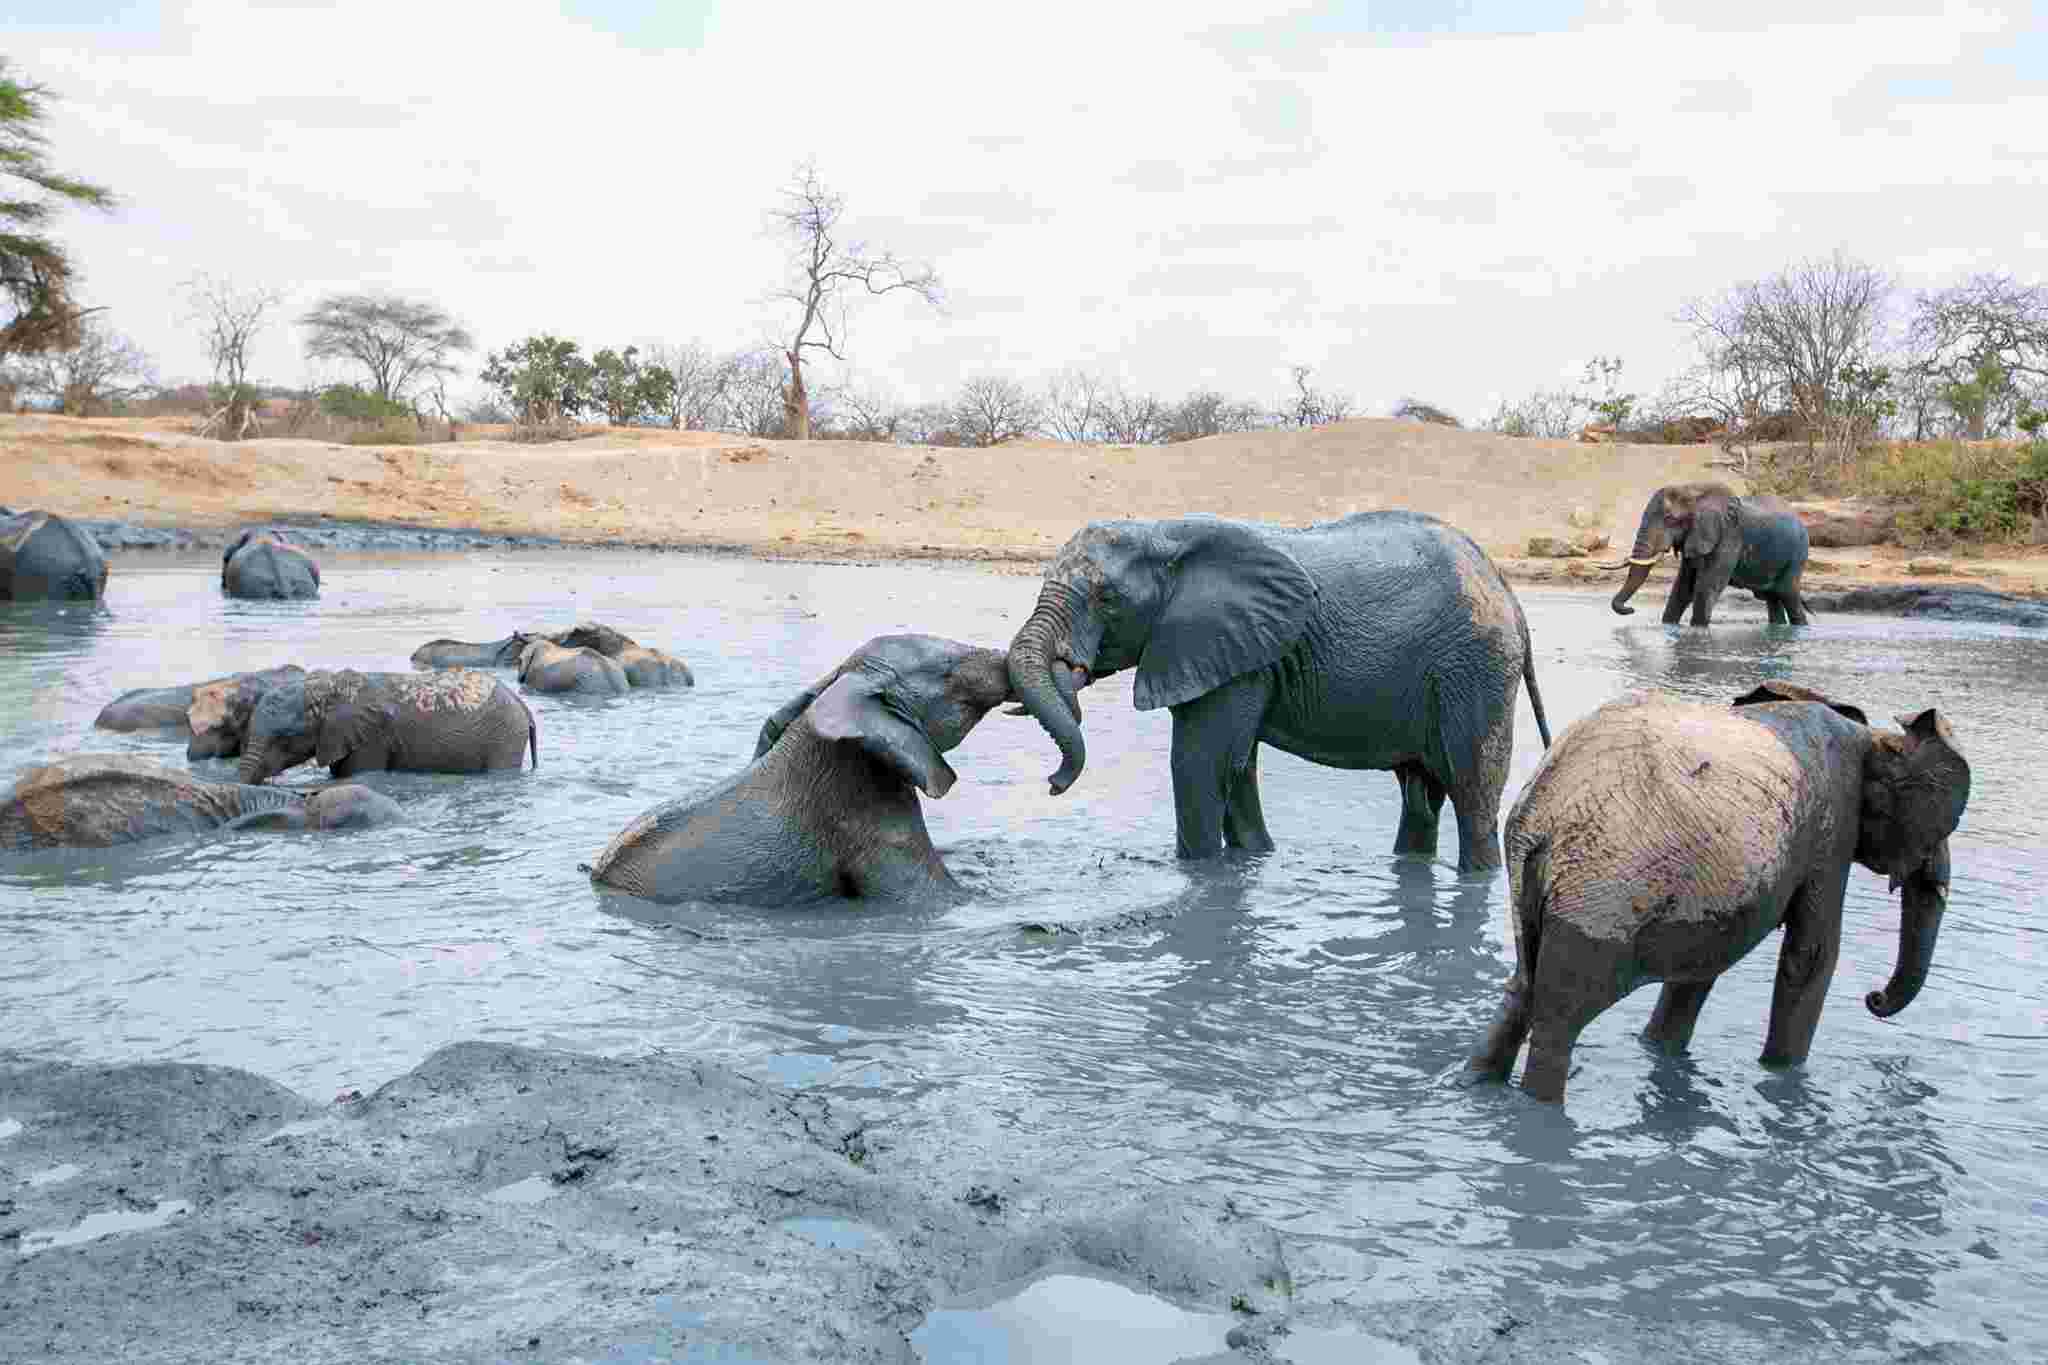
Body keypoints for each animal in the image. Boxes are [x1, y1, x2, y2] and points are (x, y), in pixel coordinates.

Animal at [1006, 511, 1553, 872]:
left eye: (1108, 599)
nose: (1052, 784)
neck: (1163, 532)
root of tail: (1507, 593)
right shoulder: (1234, 653)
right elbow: (1236, 766)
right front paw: (1250, 863)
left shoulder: (1232, 647)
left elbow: (1199, 764)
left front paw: (1196, 873)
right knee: (1420, 793)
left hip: (1476, 668)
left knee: (1471, 791)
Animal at [1468, 680, 1970, 1104]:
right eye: (1942, 827)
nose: (1874, 1000)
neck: (1873, 736)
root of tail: (1541, 814)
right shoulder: (1833, 822)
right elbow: (1811, 958)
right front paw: (1780, 1075)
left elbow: (1703, 965)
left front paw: (1659, 1051)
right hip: (1601, 895)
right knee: (1560, 1018)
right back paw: (1541, 1109)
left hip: (1544, 885)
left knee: (1522, 990)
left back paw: (1477, 1083)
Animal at [1604, 483, 1811, 626]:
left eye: (1670, 519)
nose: (1631, 609)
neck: (1692, 490)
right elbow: (1683, 587)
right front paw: (1669, 627)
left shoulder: (1728, 536)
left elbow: (1707, 587)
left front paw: (1698, 630)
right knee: (1772, 598)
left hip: (1798, 554)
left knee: (1788, 594)